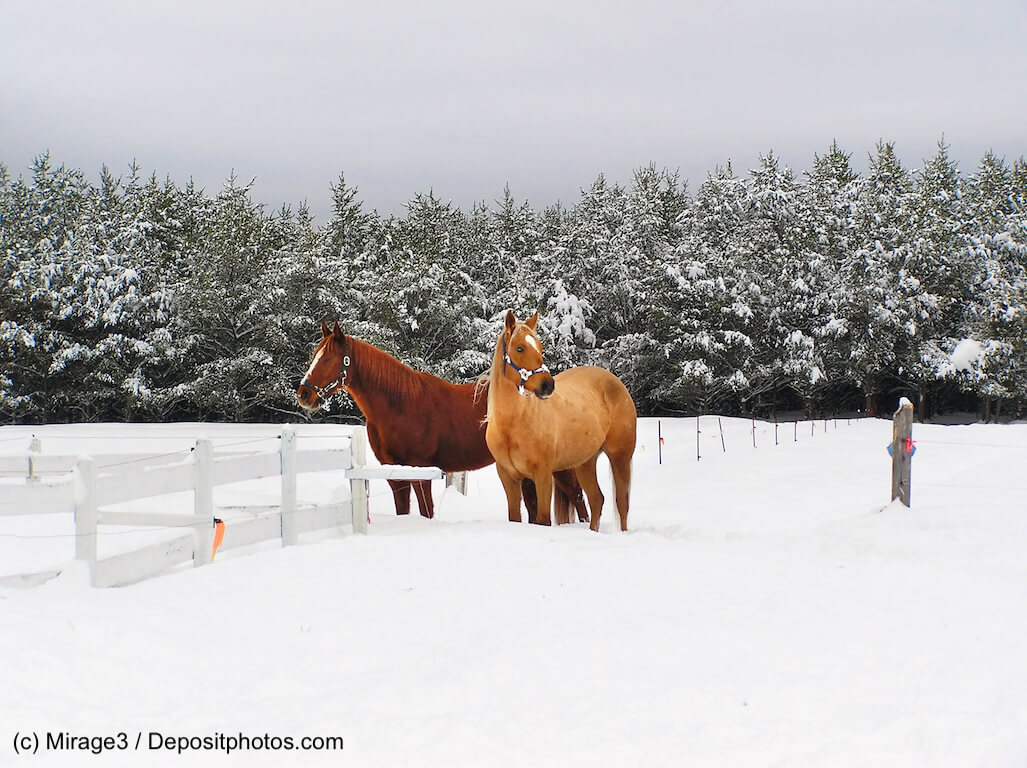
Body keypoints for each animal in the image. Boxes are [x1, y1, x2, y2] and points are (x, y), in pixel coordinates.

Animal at [296, 321, 587, 523]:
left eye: (329, 358)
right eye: (315, 356)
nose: (304, 394)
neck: (400, 407)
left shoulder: (422, 472)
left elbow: (426, 512)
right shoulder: (396, 475)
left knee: (578, 498)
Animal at [485, 311, 637, 531]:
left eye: (540, 347)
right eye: (519, 348)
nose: (547, 385)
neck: (512, 425)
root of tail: (615, 382)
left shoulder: (542, 475)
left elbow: (543, 520)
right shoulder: (509, 477)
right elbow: (516, 517)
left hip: (620, 457)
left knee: (622, 503)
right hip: (585, 463)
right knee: (596, 500)